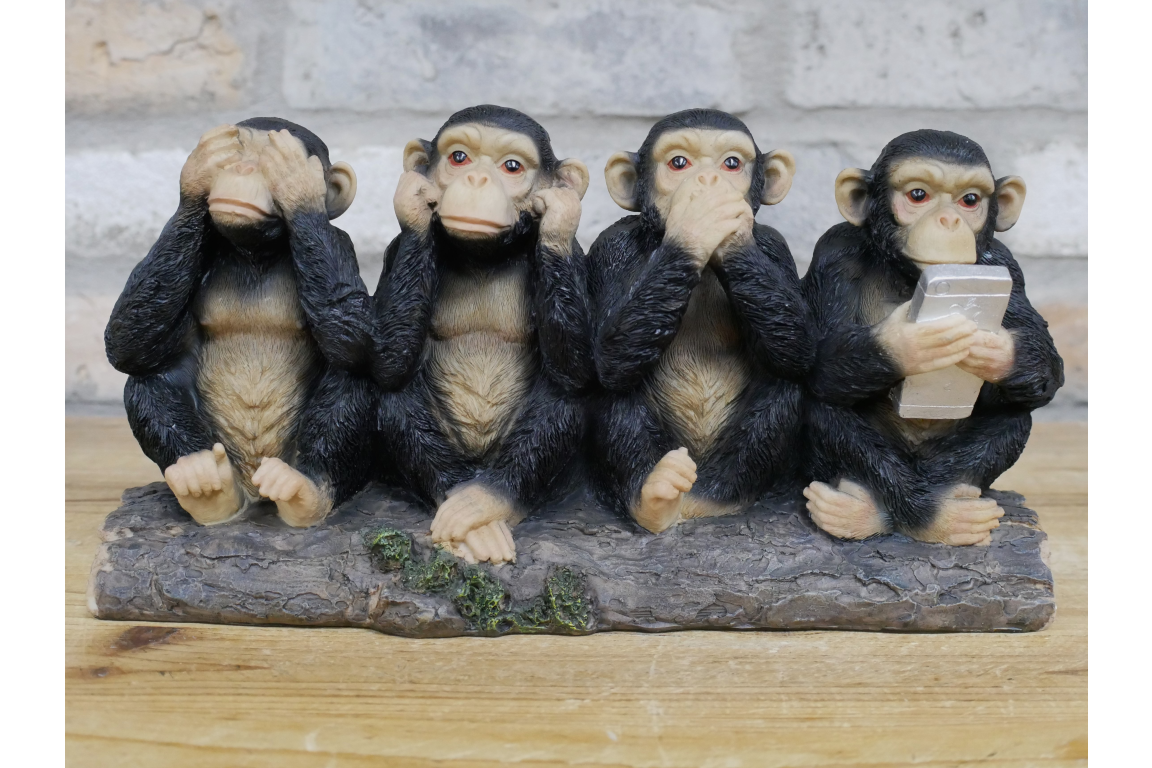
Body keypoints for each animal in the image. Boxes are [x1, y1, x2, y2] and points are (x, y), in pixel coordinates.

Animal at [104, 118, 375, 528]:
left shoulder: (340, 246)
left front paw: (296, 184)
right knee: (148, 377)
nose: (243, 168)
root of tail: (256, 492)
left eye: (269, 159)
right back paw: (205, 483)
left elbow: (357, 334)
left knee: (354, 377)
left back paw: (305, 491)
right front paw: (198, 171)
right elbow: (126, 343)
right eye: (235, 155)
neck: (255, 255)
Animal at [370, 105, 593, 565]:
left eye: (512, 167)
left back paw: (487, 500)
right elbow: (388, 362)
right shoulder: (394, 252)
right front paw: (413, 202)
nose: (476, 179)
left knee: (565, 399)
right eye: (459, 157)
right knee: (395, 393)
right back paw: (460, 498)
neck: (483, 257)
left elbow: (575, 370)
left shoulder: (577, 260)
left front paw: (560, 215)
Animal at [587, 109, 814, 534]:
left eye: (732, 163)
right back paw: (653, 497)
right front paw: (695, 224)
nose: (709, 180)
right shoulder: (611, 248)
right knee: (615, 388)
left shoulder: (776, 248)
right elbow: (610, 352)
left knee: (785, 385)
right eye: (679, 163)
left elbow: (800, 346)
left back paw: (716, 499)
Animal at [800, 129, 1064, 546]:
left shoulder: (1005, 265)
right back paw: (873, 511)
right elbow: (822, 360)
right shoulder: (833, 255)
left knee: (1014, 414)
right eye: (918, 195)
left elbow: (1049, 363)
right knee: (826, 409)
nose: (949, 220)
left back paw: (949, 510)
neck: (905, 274)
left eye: (970, 200)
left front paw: (992, 348)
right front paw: (908, 342)